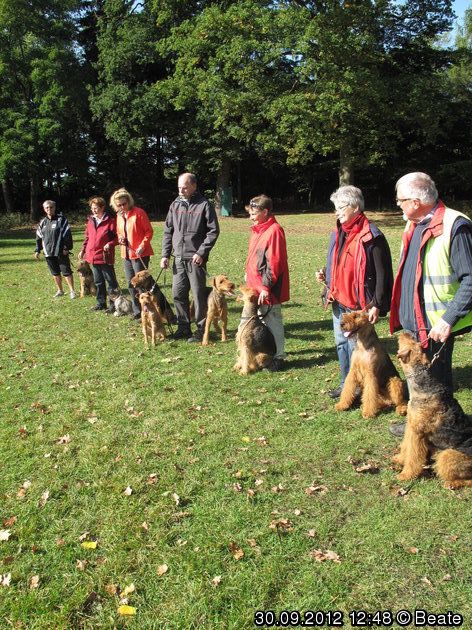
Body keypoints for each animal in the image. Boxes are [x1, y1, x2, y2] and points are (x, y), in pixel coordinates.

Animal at [392, 334, 472, 492]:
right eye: (416, 342)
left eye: (411, 342)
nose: (406, 334)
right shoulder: (411, 427)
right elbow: (406, 446)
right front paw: (399, 459)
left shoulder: (418, 433)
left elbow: (413, 455)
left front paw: (406, 475)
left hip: (447, 455)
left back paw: (452, 483)